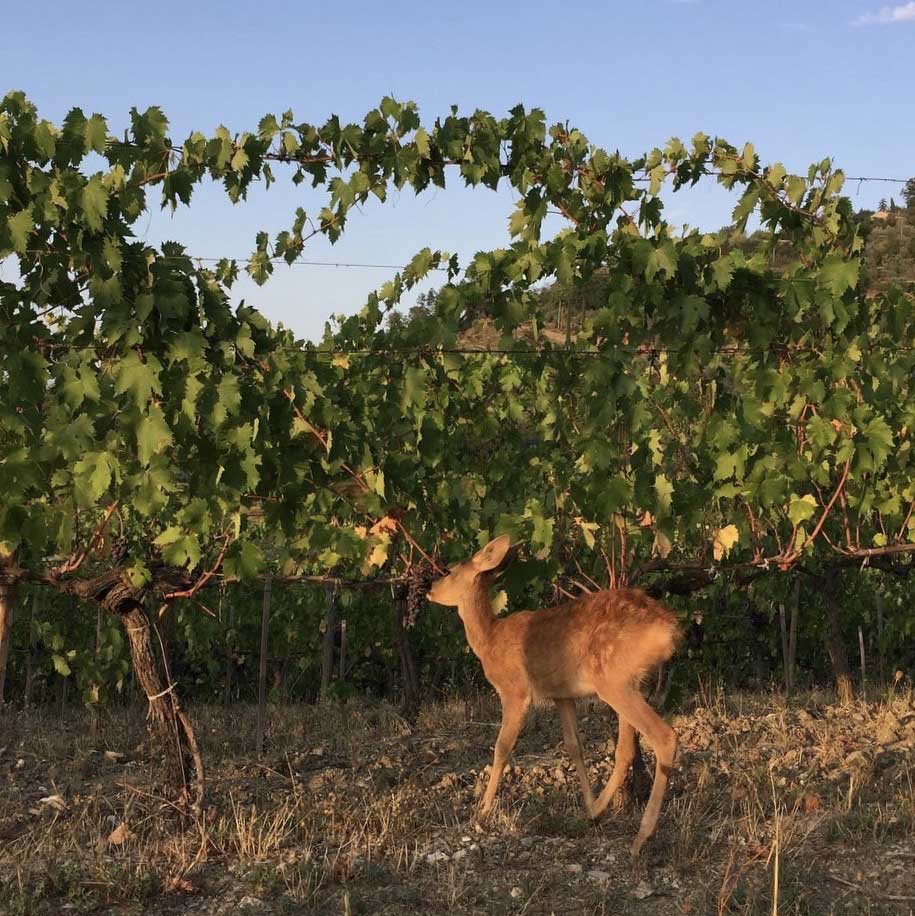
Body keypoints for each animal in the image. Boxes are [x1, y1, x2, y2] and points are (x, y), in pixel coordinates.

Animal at [427, 534, 681, 856]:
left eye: (450, 570)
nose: (430, 589)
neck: (489, 640)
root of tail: (669, 630)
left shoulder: (515, 690)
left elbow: (502, 747)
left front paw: (482, 811)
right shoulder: (562, 695)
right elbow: (574, 746)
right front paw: (587, 802)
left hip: (613, 681)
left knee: (663, 736)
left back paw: (641, 837)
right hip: (628, 681)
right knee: (625, 749)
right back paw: (596, 811)